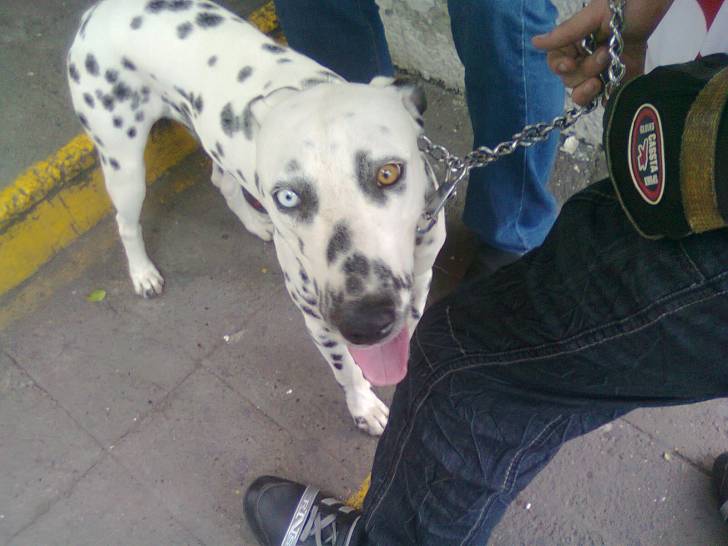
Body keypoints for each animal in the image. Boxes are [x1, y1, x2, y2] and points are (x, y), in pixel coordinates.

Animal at [67, 0, 446, 435]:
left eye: (388, 173)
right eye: (287, 197)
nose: (364, 322)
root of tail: (99, 10)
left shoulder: (420, 280)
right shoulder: (317, 320)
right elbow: (347, 371)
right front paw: (364, 406)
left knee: (221, 180)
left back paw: (253, 222)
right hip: (124, 164)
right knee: (126, 223)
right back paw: (143, 273)